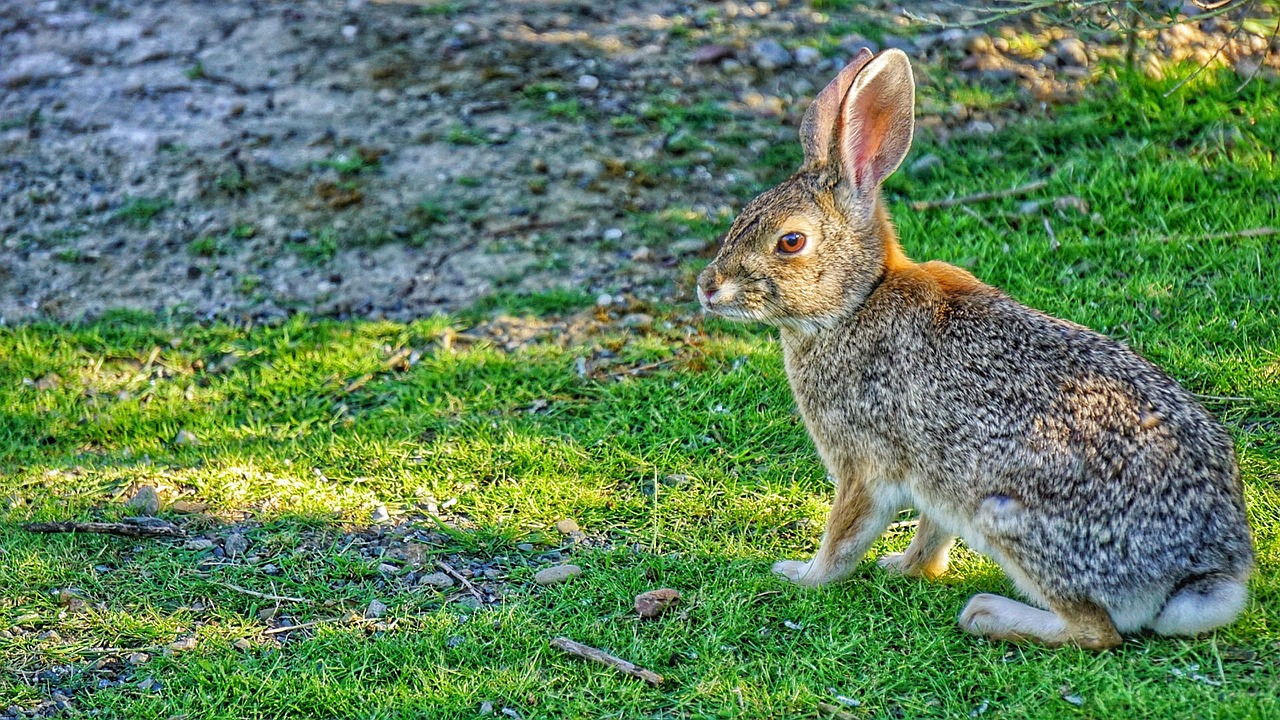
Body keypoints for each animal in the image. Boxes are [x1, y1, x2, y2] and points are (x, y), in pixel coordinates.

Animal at [696, 47, 1254, 648]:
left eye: (791, 241)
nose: (707, 287)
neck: (856, 301)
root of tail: (1203, 574)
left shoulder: (863, 464)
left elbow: (843, 537)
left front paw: (801, 575)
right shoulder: (935, 477)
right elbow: (931, 533)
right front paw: (903, 566)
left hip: (1008, 515)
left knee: (1095, 630)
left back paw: (986, 613)